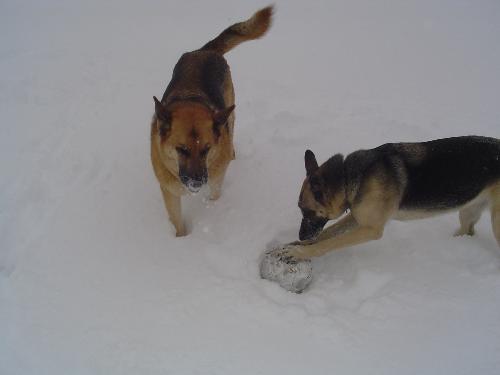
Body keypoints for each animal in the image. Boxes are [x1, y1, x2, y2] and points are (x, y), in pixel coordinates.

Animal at [151, 5, 274, 236]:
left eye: (207, 149)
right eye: (181, 149)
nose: (197, 182)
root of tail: (205, 51)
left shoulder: (216, 180)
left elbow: (214, 195)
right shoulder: (169, 192)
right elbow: (177, 221)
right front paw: (181, 240)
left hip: (230, 114)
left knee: (231, 131)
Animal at [280, 136, 500, 262]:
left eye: (306, 210)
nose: (302, 236)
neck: (349, 176)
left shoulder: (371, 229)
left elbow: (331, 242)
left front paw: (299, 252)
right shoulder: (357, 217)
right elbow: (329, 232)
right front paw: (299, 245)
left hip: (495, 223)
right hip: (468, 211)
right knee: (467, 231)